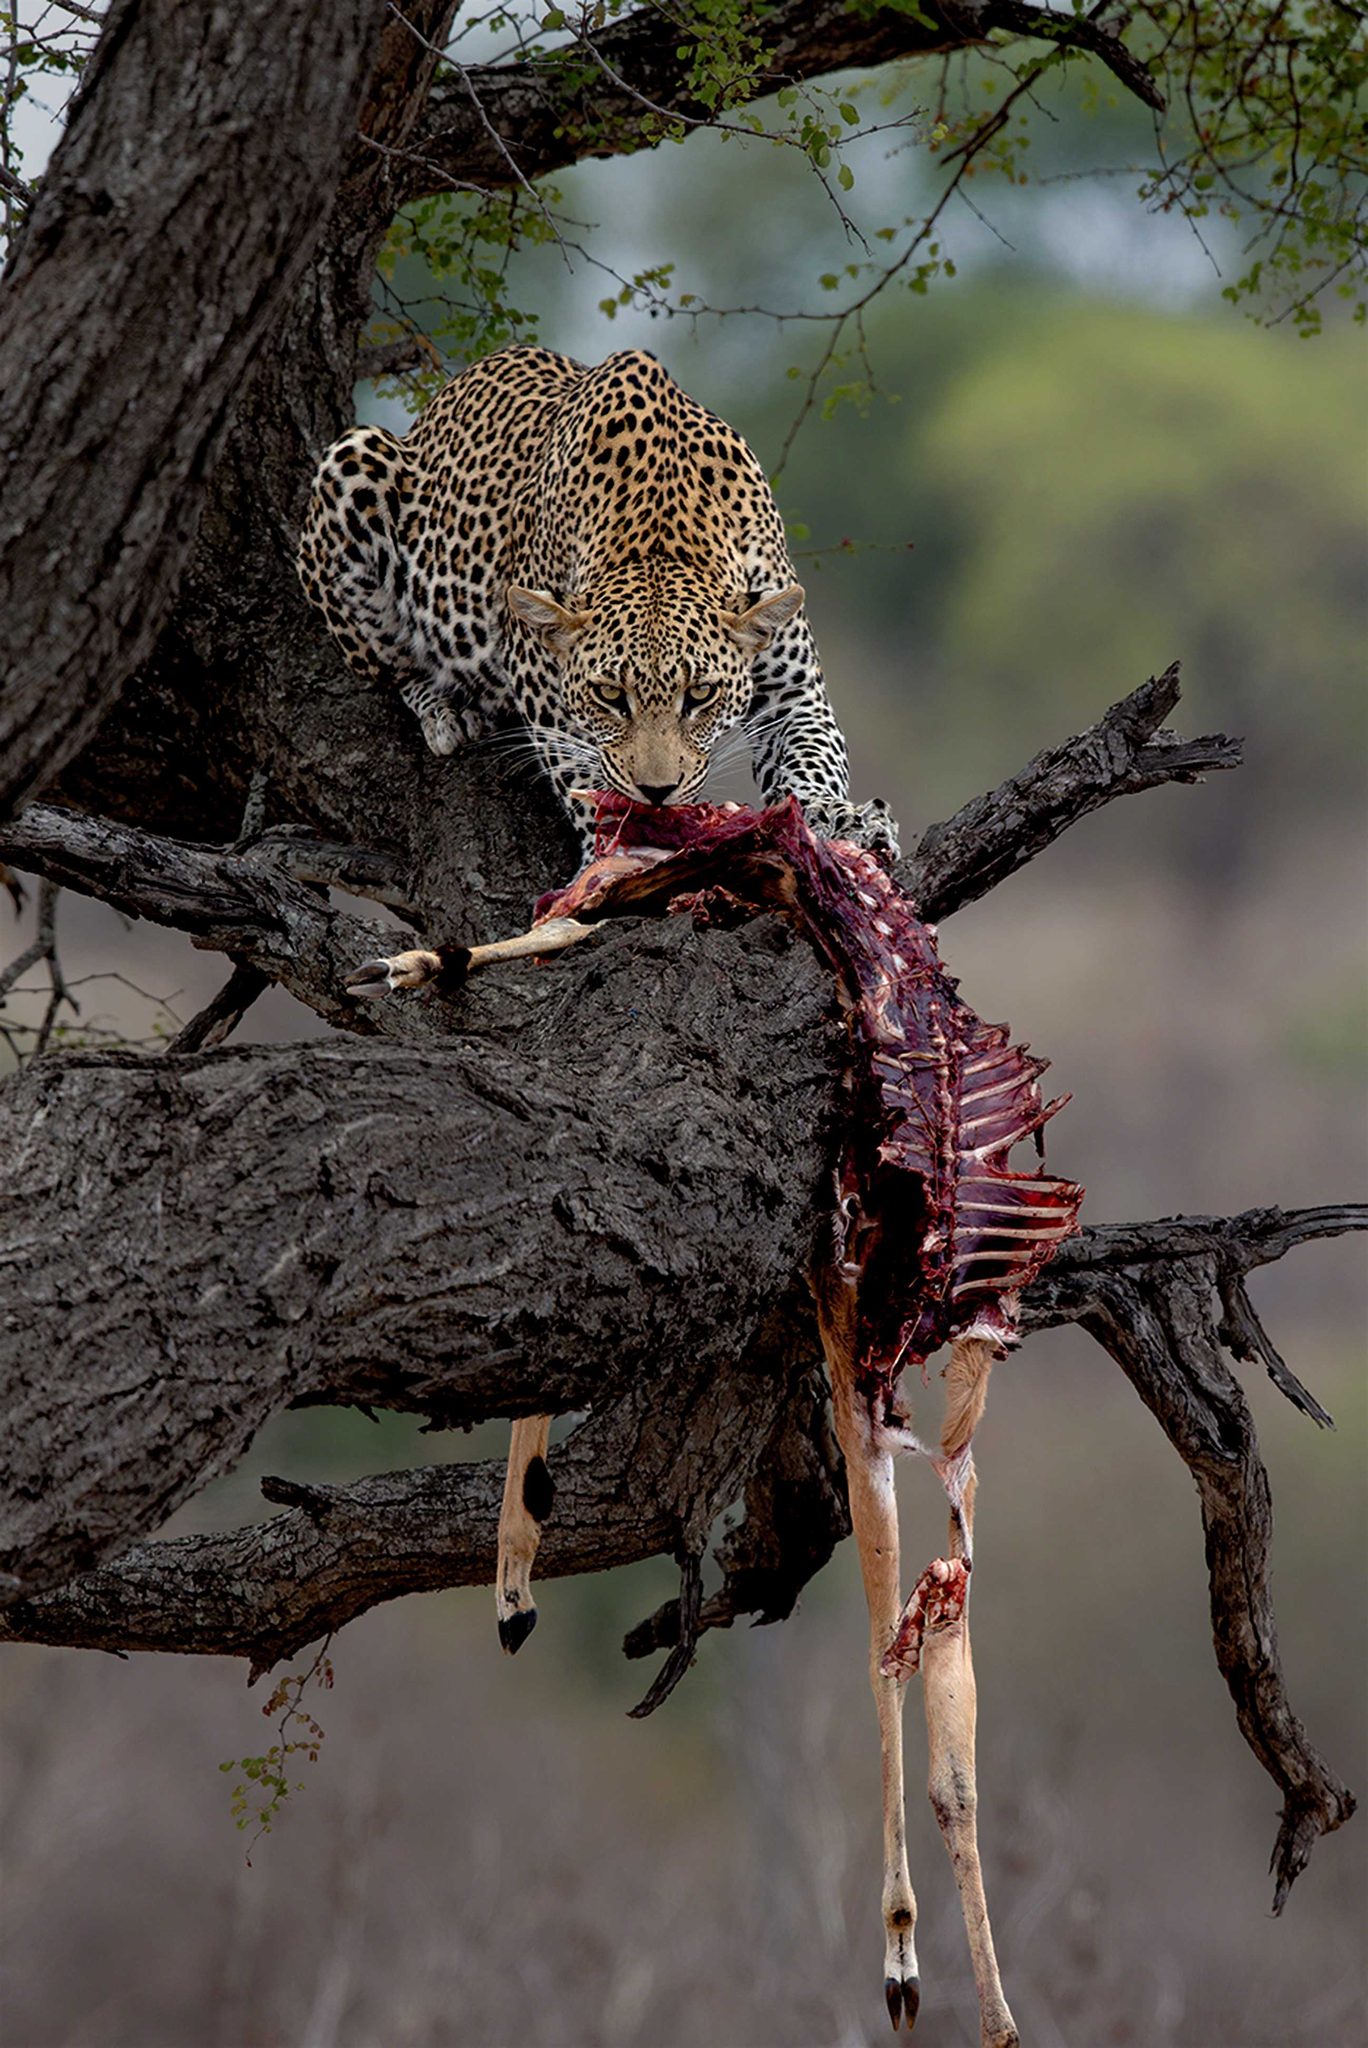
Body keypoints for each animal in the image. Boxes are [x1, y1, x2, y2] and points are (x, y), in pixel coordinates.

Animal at [297, 344, 899, 864]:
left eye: (700, 695)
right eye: (610, 695)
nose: (658, 791)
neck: (662, 535)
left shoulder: (792, 690)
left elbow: (812, 756)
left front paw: (840, 817)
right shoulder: (540, 679)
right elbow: (581, 774)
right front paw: (615, 847)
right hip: (353, 466)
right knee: (390, 663)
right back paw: (448, 708)